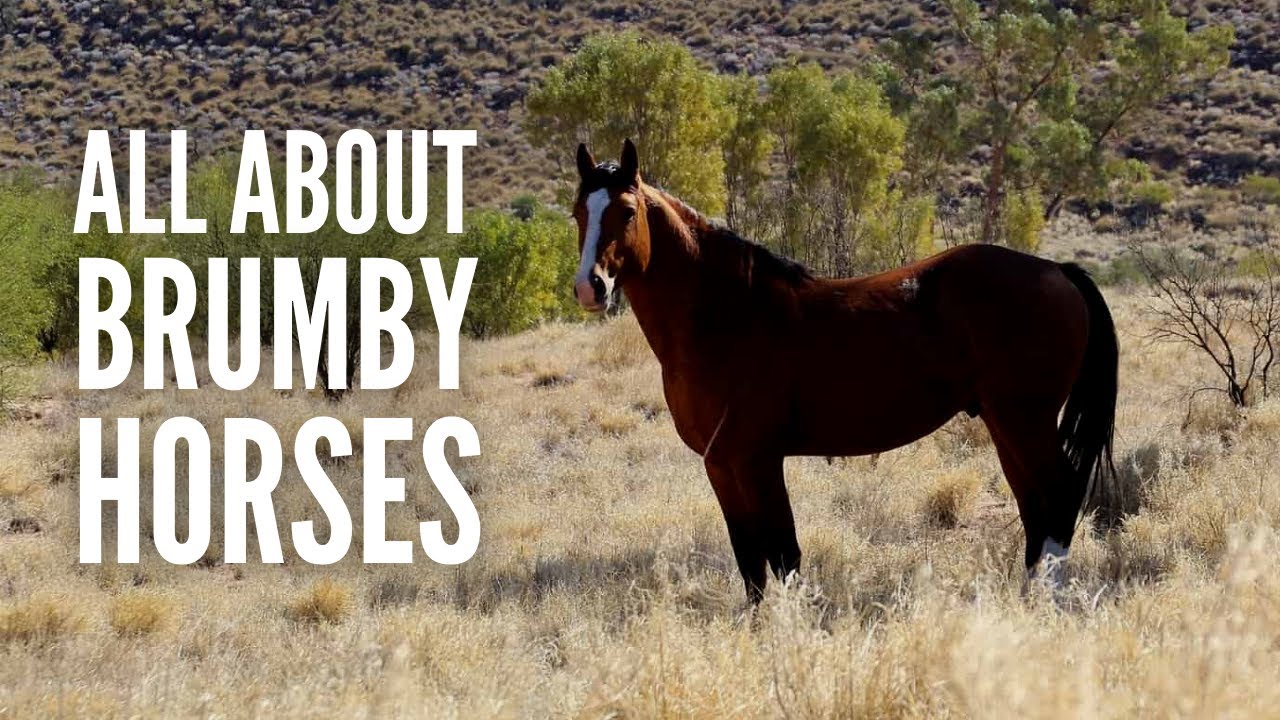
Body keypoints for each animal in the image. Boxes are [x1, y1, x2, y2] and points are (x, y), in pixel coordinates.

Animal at [569, 139, 1117, 603]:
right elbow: (750, 562)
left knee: (1059, 498)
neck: (726, 312)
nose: (589, 288)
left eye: (627, 211)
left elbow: (783, 554)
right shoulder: (721, 464)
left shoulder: (758, 459)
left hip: (1025, 422)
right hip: (1007, 426)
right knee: (1035, 507)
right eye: (578, 212)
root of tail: (1057, 270)